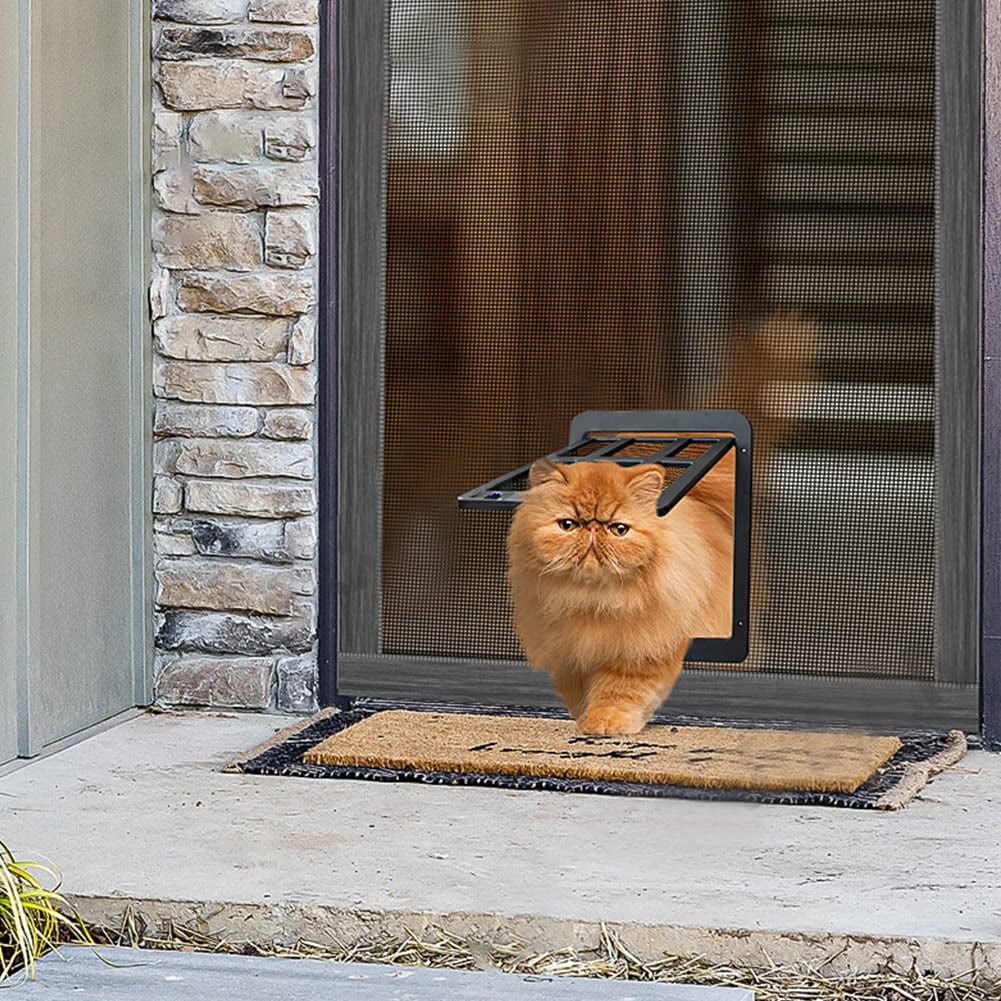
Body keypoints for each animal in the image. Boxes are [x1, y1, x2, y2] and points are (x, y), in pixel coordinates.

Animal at [508, 454, 736, 736]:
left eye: (619, 529)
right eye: (568, 525)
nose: (593, 529)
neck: (592, 600)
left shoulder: (639, 648)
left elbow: (618, 691)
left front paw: (605, 722)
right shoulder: (568, 655)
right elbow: (577, 691)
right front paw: (583, 717)